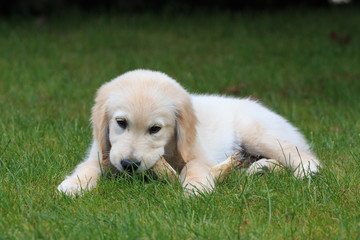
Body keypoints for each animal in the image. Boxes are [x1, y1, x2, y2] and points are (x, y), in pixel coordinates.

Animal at [57, 69, 322, 195]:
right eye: (121, 123)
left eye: (155, 129)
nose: (129, 164)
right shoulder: (102, 151)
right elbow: (88, 167)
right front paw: (74, 185)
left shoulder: (198, 153)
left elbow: (195, 167)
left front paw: (196, 188)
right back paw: (258, 169)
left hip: (255, 132)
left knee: (300, 154)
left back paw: (306, 171)